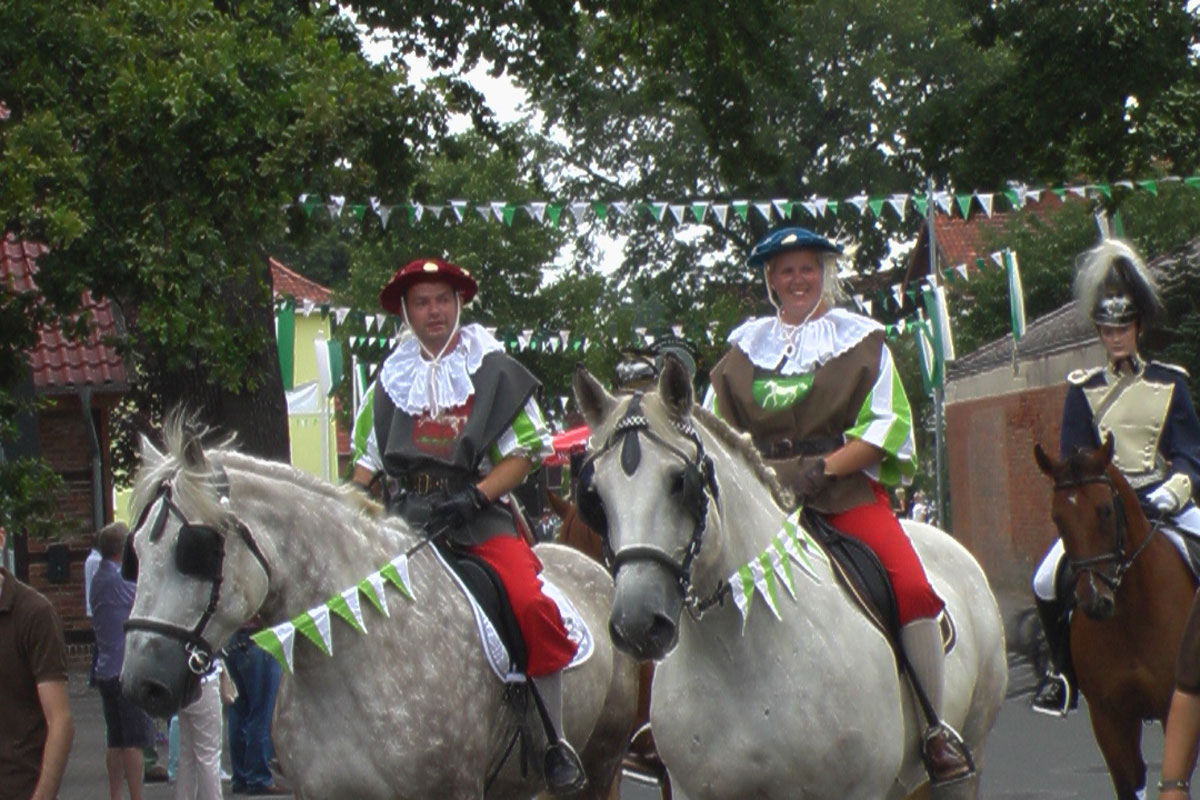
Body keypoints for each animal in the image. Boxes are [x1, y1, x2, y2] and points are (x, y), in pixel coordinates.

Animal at [1036, 438, 1195, 800]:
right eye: (1057, 517)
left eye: (1106, 509)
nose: (1095, 601)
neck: (1130, 620)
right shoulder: (1109, 718)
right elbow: (1130, 784)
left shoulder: (1172, 704)